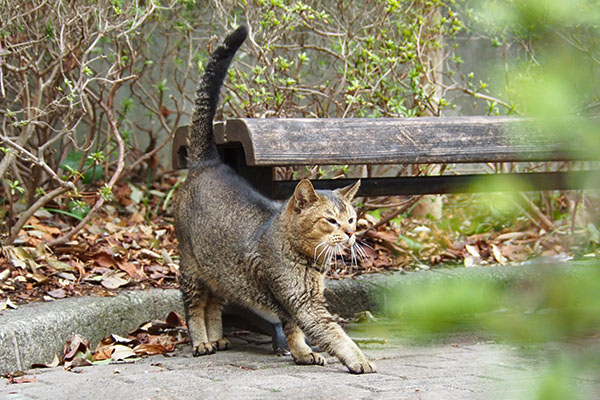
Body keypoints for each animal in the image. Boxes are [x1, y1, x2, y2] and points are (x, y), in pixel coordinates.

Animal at [173, 25, 376, 376]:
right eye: (331, 220)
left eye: (351, 219)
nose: (351, 233)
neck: (310, 262)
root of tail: (208, 161)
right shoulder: (302, 302)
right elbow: (334, 333)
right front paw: (358, 359)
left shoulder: (292, 303)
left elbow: (293, 329)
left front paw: (302, 353)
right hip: (191, 266)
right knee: (194, 305)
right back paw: (201, 342)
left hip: (219, 272)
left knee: (213, 304)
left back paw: (217, 338)